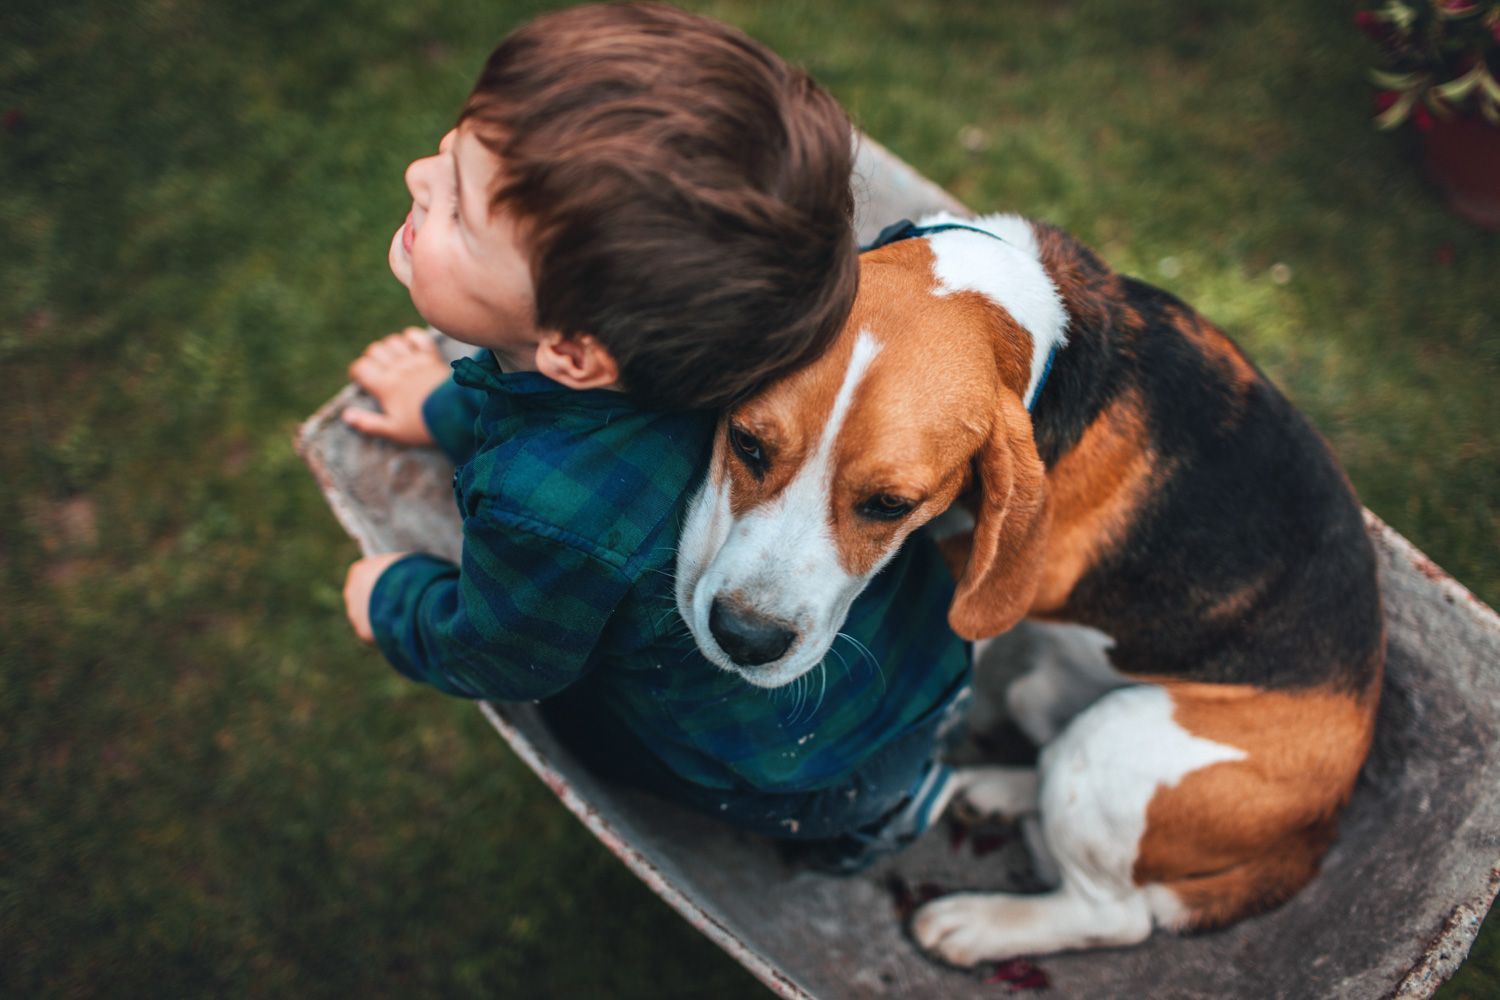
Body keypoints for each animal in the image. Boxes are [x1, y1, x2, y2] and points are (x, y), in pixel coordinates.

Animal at [675, 215, 1386, 965]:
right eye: (747, 444)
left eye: (891, 505)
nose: (744, 637)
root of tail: (1327, 817)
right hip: (1050, 703)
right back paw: (1000, 791)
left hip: (1113, 743)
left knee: (1116, 914)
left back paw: (978, 923)